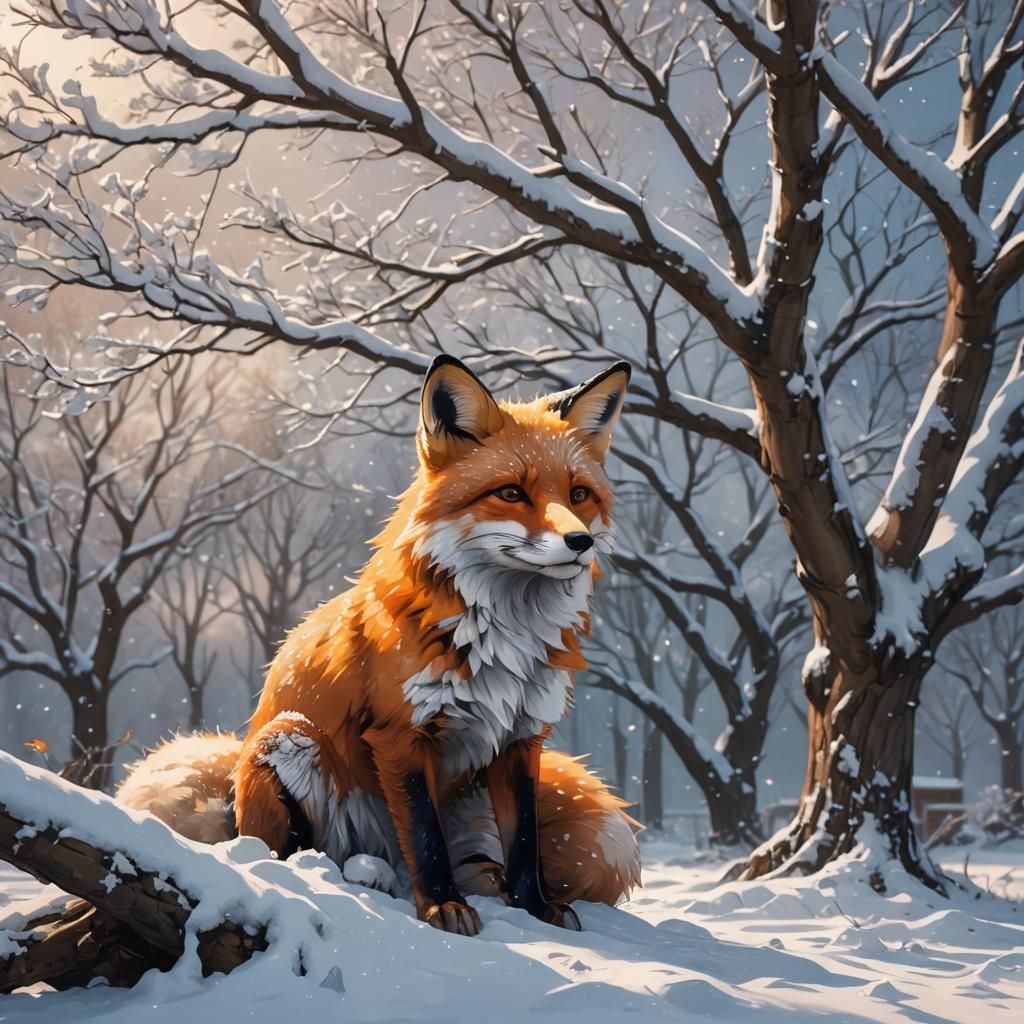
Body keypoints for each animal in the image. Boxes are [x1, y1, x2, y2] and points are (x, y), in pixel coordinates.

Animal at [118, 355, 640, 935]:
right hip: (290, 739)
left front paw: (534, 910)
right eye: (511, 492)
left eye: (578, 494)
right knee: (285, 852)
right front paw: (441, 907)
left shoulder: (521, 740)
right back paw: (345, 874)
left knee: (471, 863)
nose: (580, 542)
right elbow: (425, 837)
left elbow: (524, 841)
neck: (505, 641)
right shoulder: (399, 735)